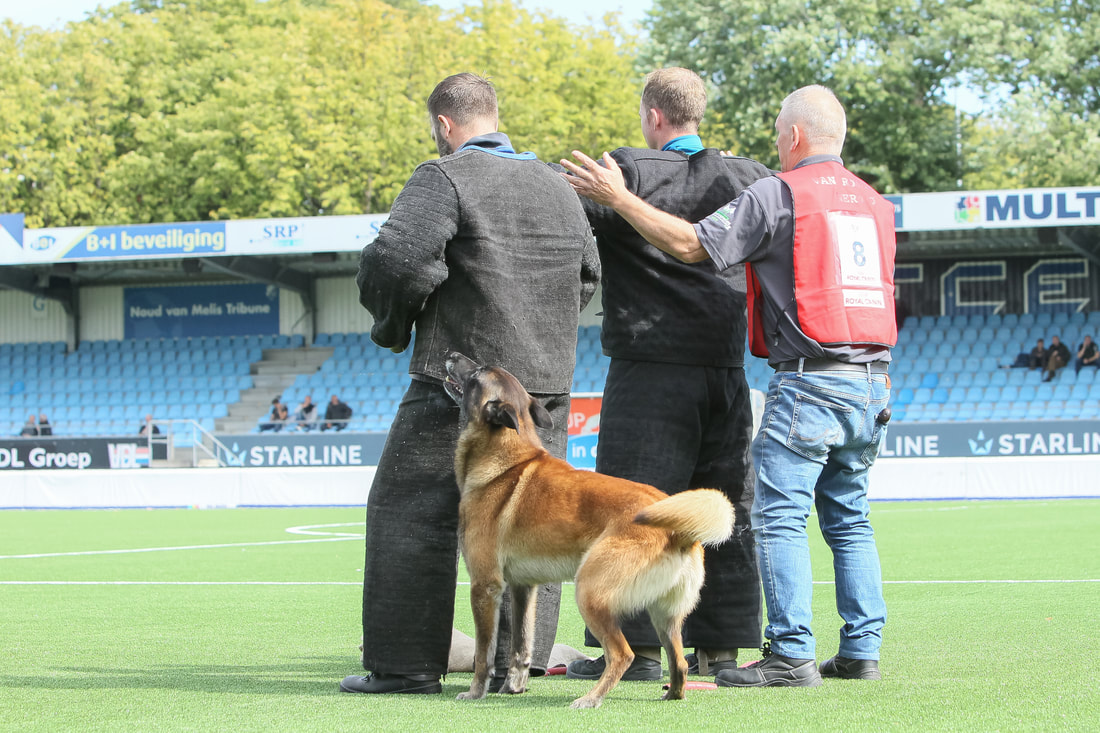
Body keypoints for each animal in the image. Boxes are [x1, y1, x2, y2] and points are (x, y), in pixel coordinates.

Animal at [443, 352, 735, 708]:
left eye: (478, 374)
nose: (451, 355)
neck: (507, 460)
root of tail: (678, 531)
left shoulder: (485, 587)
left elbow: (484, 653)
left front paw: (475, 691)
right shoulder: (523, 588)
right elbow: (521, 645)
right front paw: (514, 684)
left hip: (589, 593)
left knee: (622, 654)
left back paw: (591, 698)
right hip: (664, 615)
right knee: (677, 661)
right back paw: (672, 694)